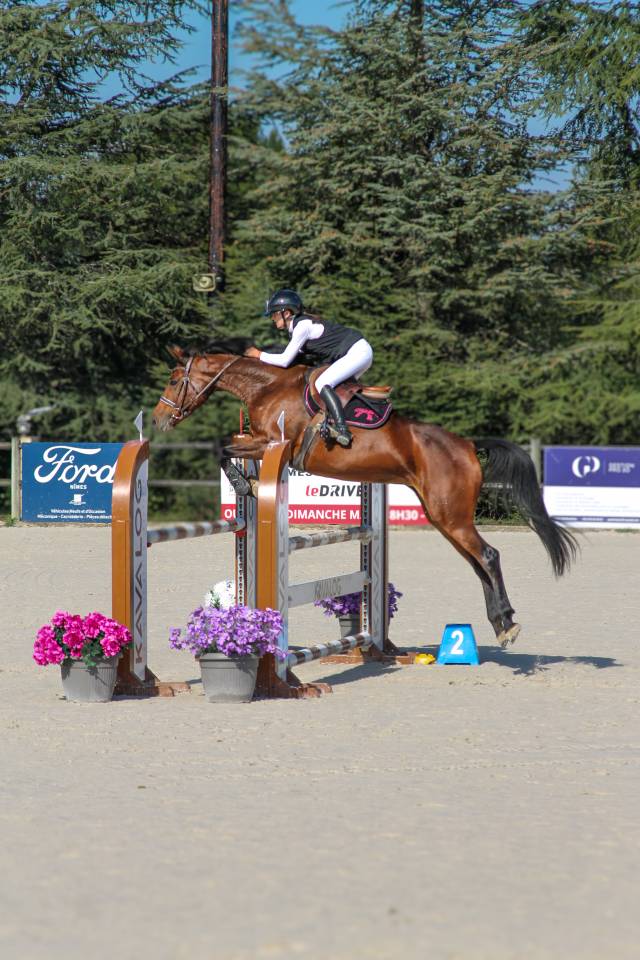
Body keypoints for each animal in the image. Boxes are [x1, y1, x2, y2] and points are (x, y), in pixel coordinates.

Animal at [152, 343, 578, 648]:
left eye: (173, 380)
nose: (158, 419)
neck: (268, 387)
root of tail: (468, 445)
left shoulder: (274, 444)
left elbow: (223, 447)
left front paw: (247, 485)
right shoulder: (260, 443)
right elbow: (226, 446)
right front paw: (248, 484)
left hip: (451, 516)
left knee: (488, 556)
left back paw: (508, 622)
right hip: (444, 518)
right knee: (479, 563)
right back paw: (501, 625)